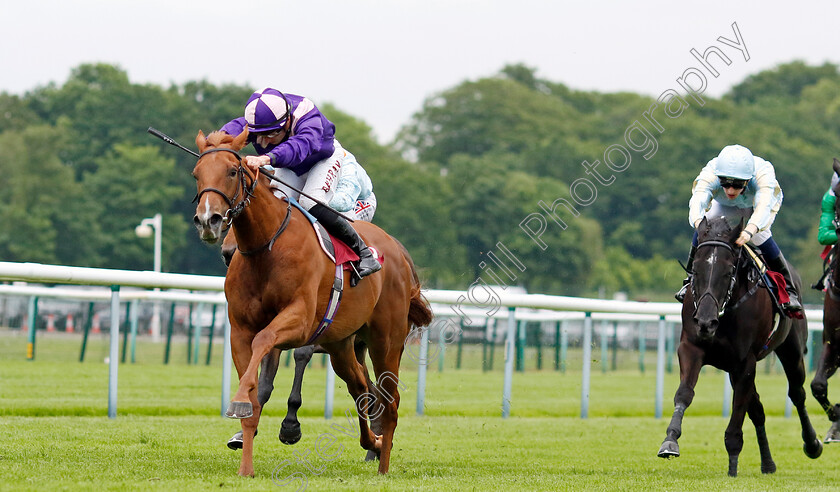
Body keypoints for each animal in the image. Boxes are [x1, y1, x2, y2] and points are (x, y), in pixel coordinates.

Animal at [192, 129, 434, 474]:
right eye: (196, 173)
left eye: (232, 171)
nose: (207, 220)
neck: (267, 248)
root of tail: (398, 250)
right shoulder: (240, 330)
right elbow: (256, 391)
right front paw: (245, 464)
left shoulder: (300, 321)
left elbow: (273, 345)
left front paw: (287, 425)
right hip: (341, 344)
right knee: (361, 387)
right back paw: (372, 443)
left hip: (386, 340)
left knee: (390, 400)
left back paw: (383, 464)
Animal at [656, 216, 820, 476]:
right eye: (696, 269)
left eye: (728, 271)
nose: (705, 322)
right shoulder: (691, 348)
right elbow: (684, 393)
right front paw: (670, 441)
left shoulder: (745, 362)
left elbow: (737, 412)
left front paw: (732, 464)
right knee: (758, 410)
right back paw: (768, 463)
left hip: (791, 351)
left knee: (797, 393)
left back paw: (812, 444)